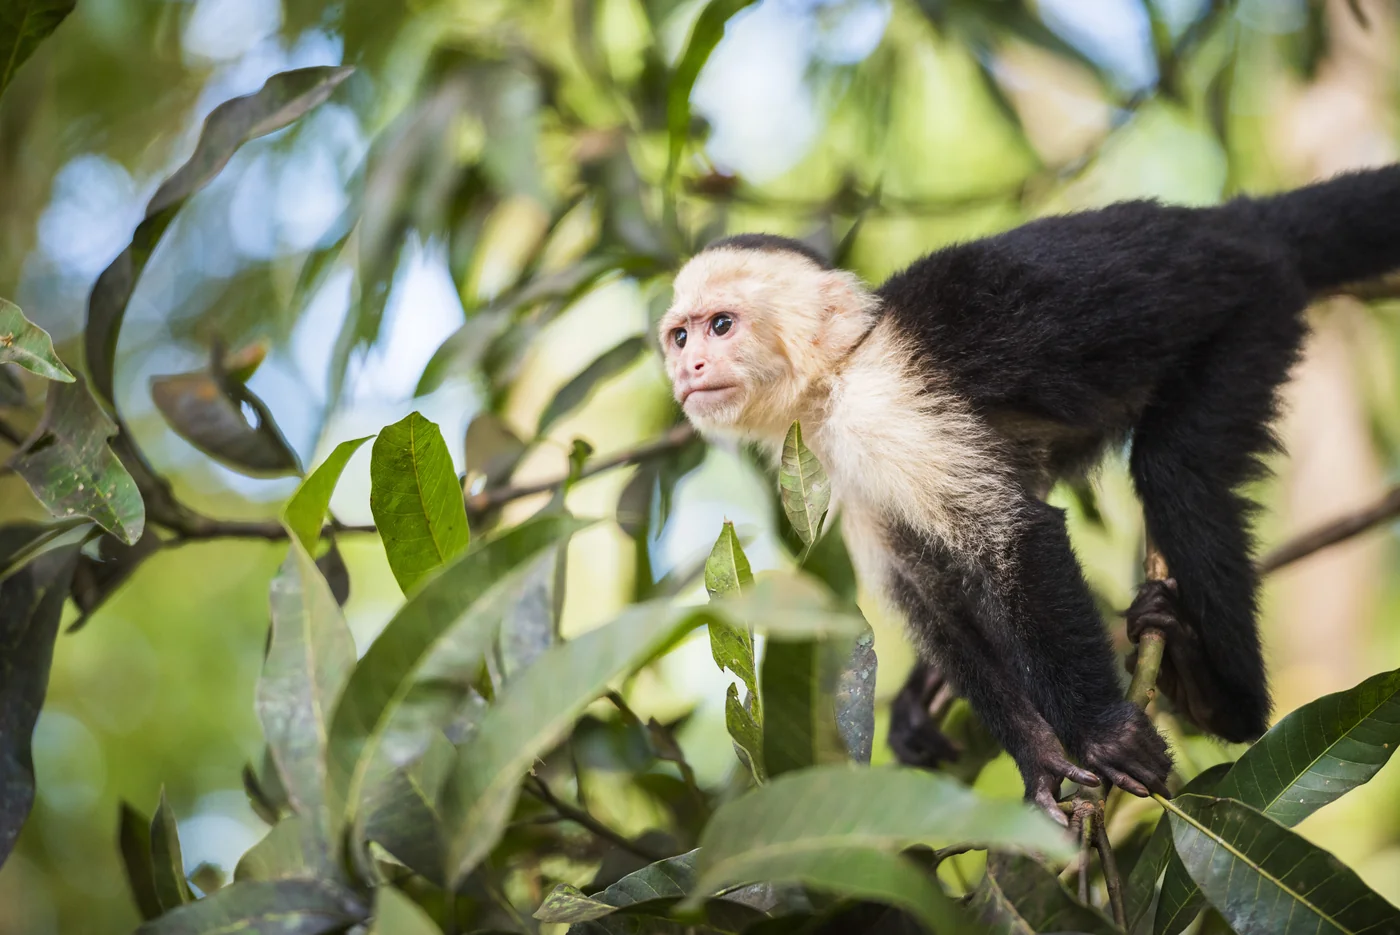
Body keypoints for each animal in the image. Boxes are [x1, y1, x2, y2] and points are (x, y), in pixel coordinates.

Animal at [657, 166, 1400, 818]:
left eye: (721, 325)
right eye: (680, 335)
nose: (688, 367)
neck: (837, 374)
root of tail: (1225, 223)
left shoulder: (884, 409)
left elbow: (1016, 538)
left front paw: (1101, 733)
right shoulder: (837, 466)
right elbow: (929, 597)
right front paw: (1039, 756)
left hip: (1252, 310)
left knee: (1177, 471)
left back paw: (1224, 698)